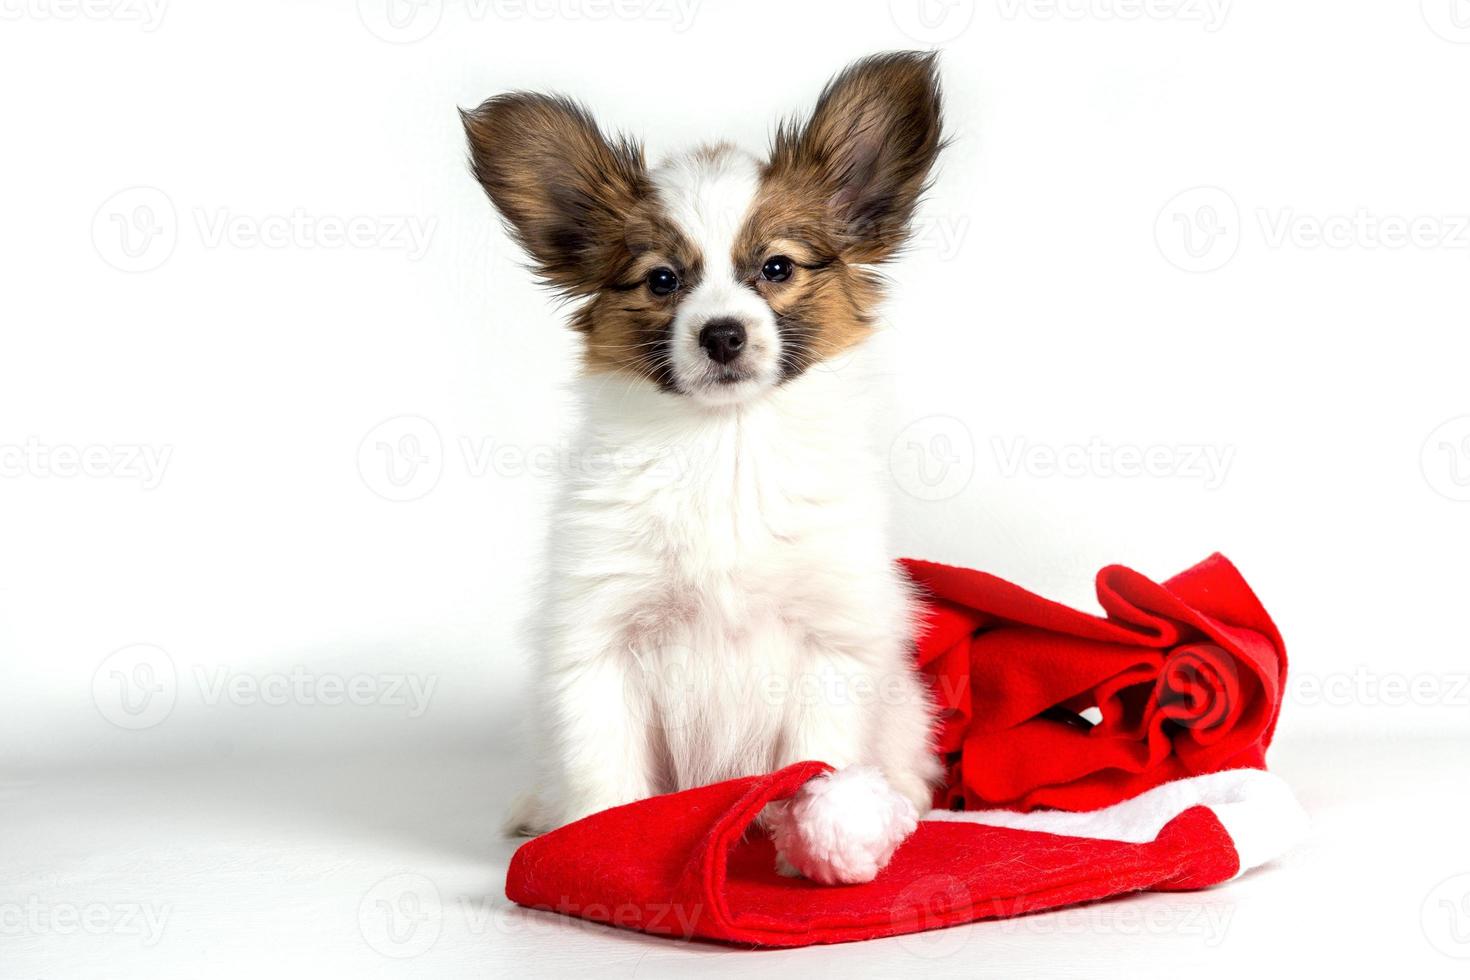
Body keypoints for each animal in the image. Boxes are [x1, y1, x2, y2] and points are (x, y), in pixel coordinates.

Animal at [464, 49, 946, 887]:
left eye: (777, 268)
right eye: (662, 280)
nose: (722, 334)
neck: (726, 448)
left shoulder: (829, 645)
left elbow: (812, 762)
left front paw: (812, 848)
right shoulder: (601, 641)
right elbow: (605, 777)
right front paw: (587, 851)